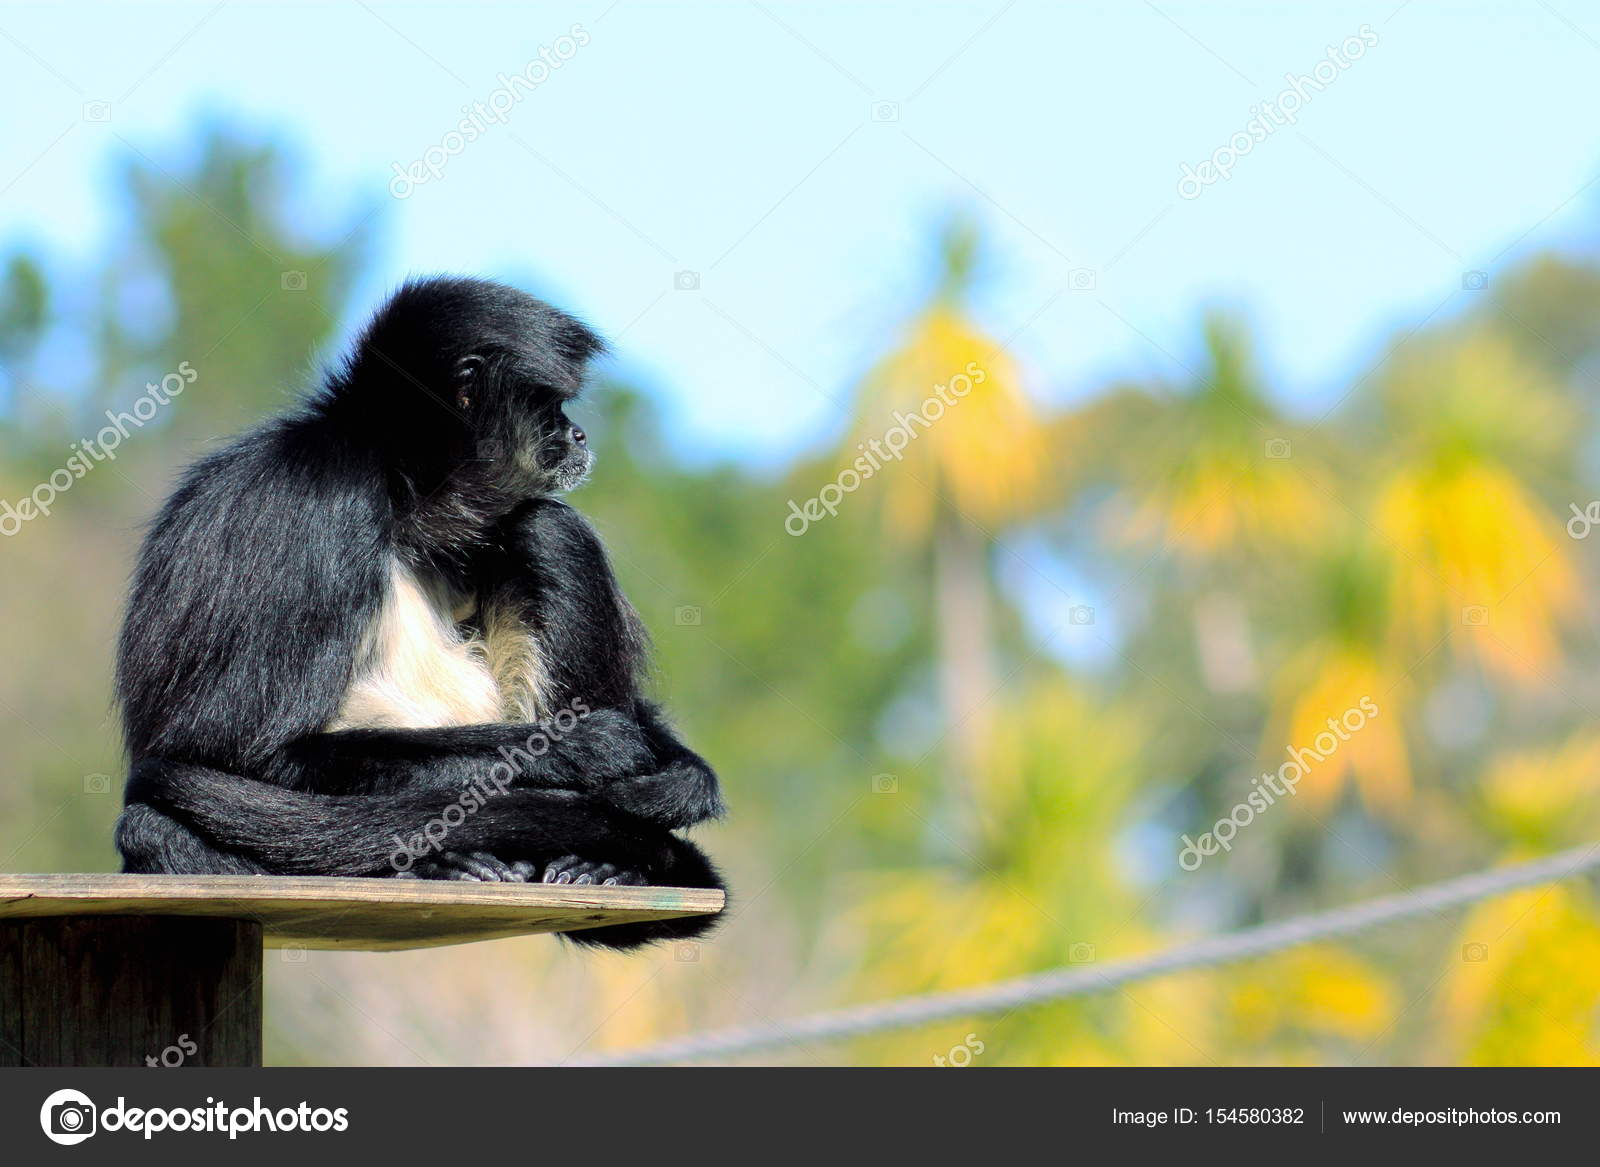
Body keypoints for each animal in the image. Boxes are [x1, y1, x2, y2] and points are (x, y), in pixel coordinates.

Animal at [113, 276, 726, 948]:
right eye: (552, 409)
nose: (579, 435)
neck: (398, 487)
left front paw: (684, 775)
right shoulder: (321, 501)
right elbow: (234, 755)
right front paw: (585, 749)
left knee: (542, 527)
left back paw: (604, 865)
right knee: (154, 825)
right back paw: (443, 862)